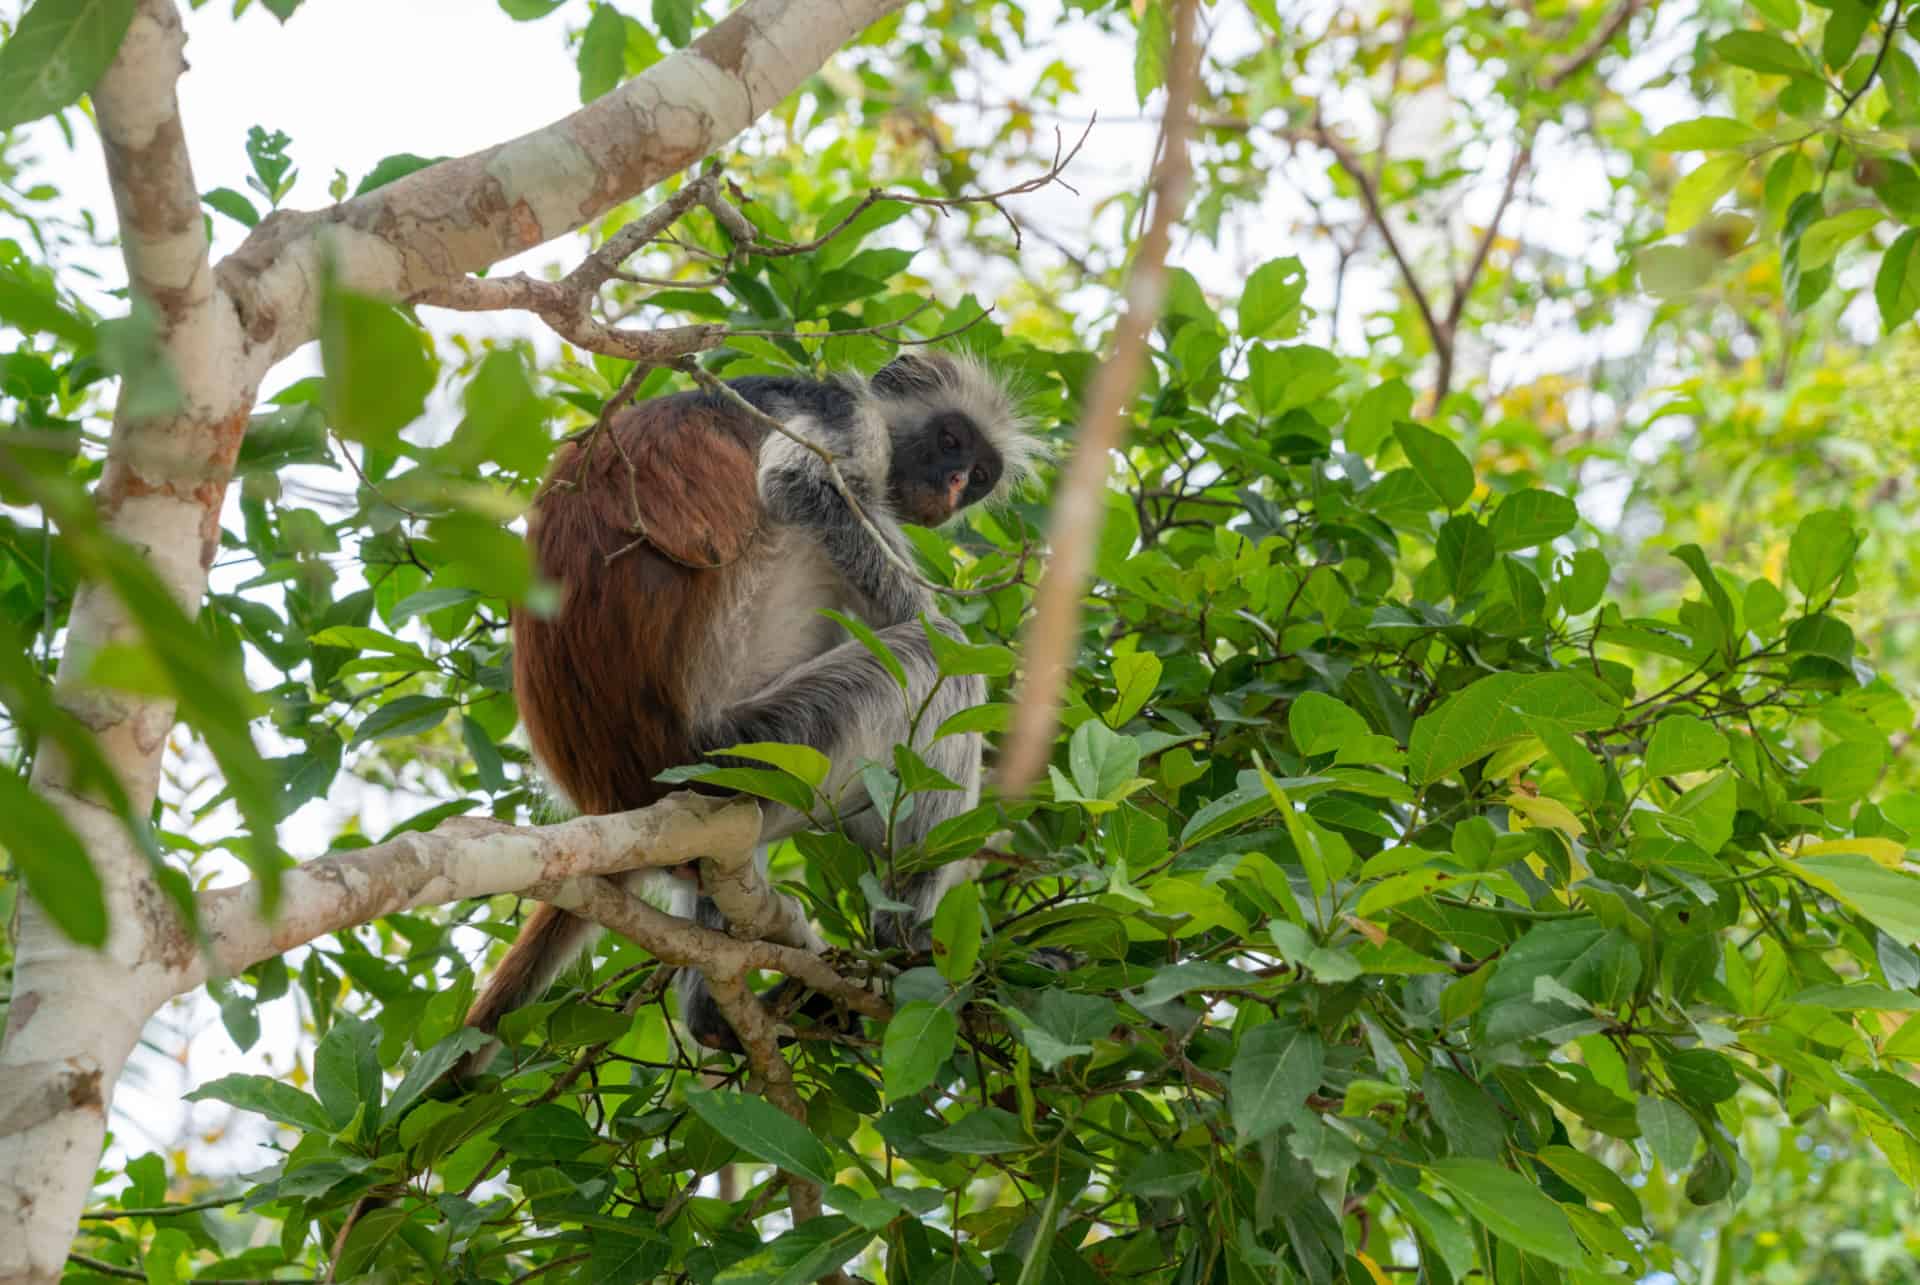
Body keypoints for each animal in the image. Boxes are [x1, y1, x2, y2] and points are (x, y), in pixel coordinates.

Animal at [464, 351, 1036, 1052]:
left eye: (980, 475)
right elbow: (802, 486)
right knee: (931, 662)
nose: (955, 483)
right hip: (751, 749)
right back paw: (907, 944)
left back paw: (718, 1012)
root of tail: (612, 794)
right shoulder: (841, 420)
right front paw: (942, 626)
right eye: (951, 439)